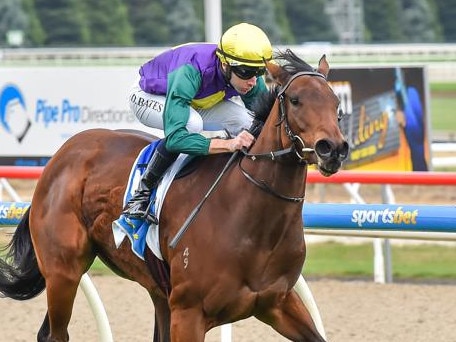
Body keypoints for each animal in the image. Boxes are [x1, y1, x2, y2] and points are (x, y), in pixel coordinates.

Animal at [0, 49, 350, 340]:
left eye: (336, 104)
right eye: (295, 100)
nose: (332, 148)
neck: (252, 222)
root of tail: (60, 157)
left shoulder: (278, 303)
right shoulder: (189, 312)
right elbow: (180, 131)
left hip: (155, 291)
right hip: (64, 271)